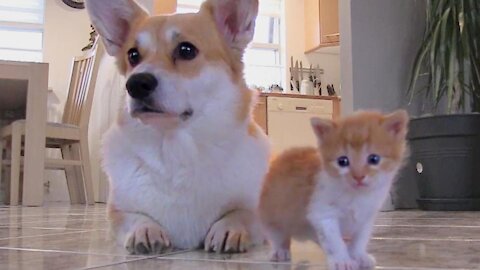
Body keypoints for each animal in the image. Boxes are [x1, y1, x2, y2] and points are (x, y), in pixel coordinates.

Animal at [86, 0, 270, 254]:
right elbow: (135, 217)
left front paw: (228, 229)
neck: (176, 149)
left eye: (186, 50)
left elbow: (242, 213)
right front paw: (145, 230)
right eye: (133, 55)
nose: (135, 84)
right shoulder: (118, 212)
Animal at [258, 110, 408, 270]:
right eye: (343, 161)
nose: (358, 177)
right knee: (277, 233)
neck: (356, 195)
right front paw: (342, 260)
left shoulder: (367, 217)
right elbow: (334, 241)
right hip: (272, 212)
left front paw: (358, 255)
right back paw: (280, 250)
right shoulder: (322, 213)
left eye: (374, 159)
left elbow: (360, 239)